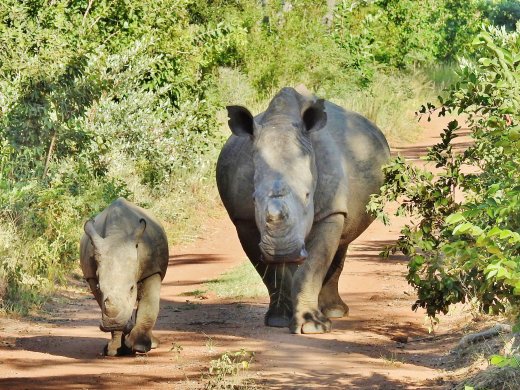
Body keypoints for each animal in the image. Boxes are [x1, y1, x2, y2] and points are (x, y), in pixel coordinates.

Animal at [80, 198, 169, 356]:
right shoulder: (91, 277)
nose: (113, 323)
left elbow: (149, 305)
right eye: (99, 287)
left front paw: (140, 347)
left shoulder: (152, 269)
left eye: (131, 288)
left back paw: (150, 344)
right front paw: (114, 350)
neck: (116, 234)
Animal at [215, 87, 390, 334]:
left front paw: (312, 327)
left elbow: (312, 266)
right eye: (254, 198)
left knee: (342, 241)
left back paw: (335, 312)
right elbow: (273, 273)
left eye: (308, 196)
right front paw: (279, 320)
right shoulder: (244, 219)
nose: (282, 250)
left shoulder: (330, 211)